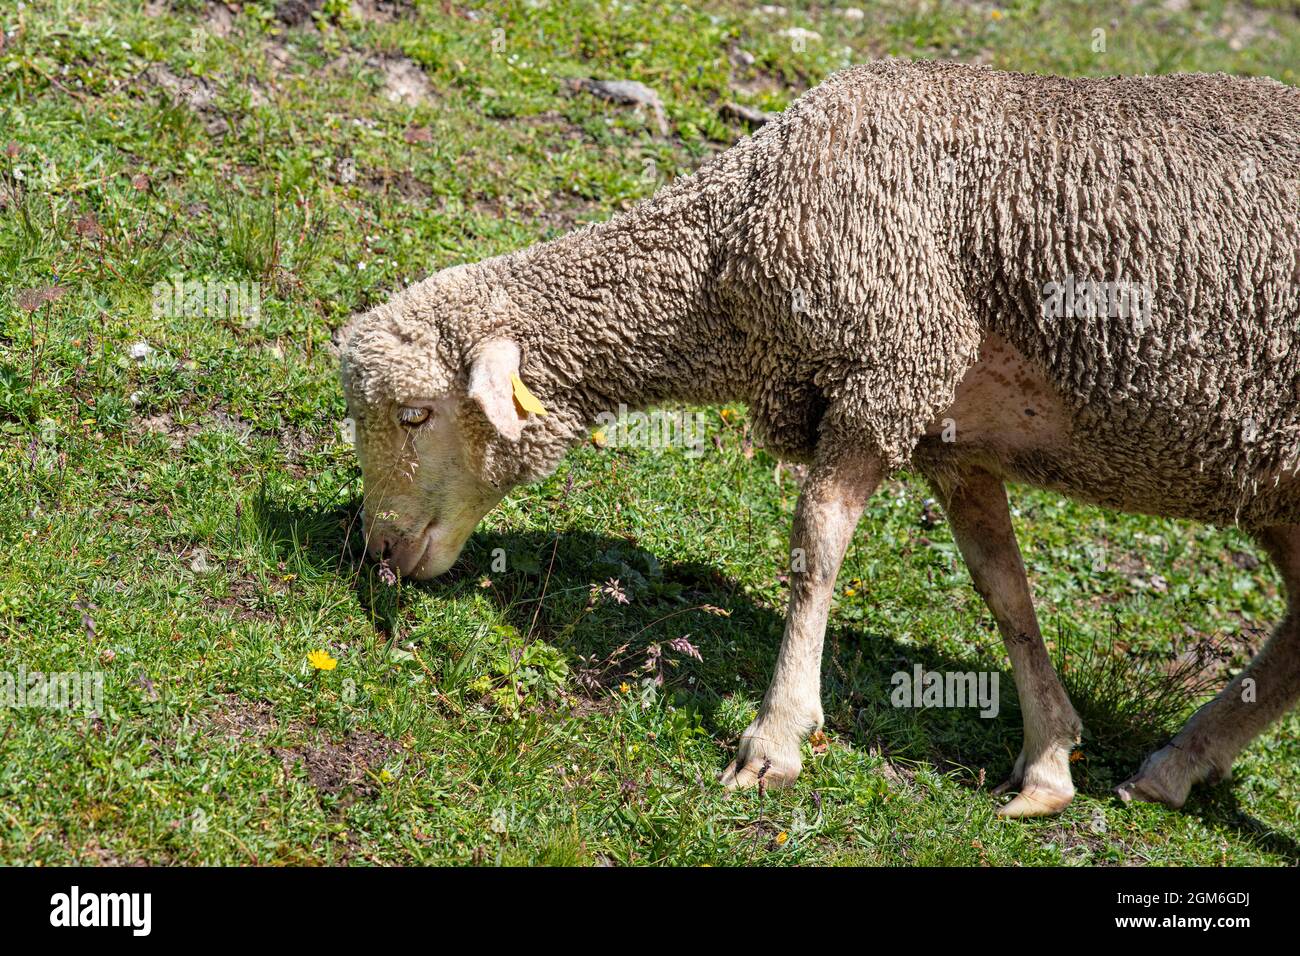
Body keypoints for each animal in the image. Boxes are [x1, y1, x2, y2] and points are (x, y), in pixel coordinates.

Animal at [340, 59, 1300, 818]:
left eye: (416, 413)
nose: (378, 551)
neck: (728, 259)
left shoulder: (888, 369)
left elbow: (817, 545)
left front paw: (775, 740)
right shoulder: (948, 433)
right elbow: (1004, 588)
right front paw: (1049, 763)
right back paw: (1175, 768)